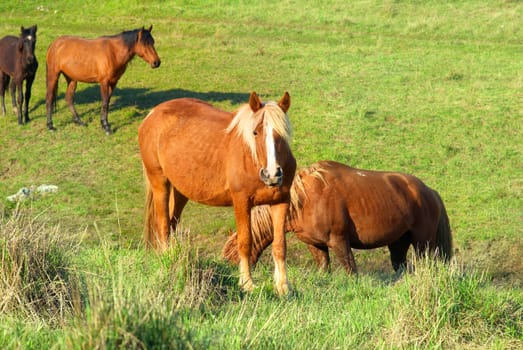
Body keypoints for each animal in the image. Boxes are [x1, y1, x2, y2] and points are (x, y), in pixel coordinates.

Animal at [137, 91, 296, 294]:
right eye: (255, 132)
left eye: (282, 134)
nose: (272, 174)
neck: (251, 159)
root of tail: (152, 114)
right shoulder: (242, 202)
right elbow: (245, 242)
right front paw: (247, 283)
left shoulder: (281, 202)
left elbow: (280, 245)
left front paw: (283, 287)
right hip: (160, 182)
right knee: (163, 225)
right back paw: (167, 261)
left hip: (180, 191)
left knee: (172, 224)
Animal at [223, 161, 452, 274]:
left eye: (233, 256)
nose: (238, 283)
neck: (304, 199)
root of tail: (429, 191)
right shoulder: (316, 245)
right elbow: (324, 270)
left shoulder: (339, 241)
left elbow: (351, 271)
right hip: (398, 243)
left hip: (423, 243)